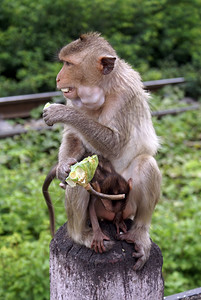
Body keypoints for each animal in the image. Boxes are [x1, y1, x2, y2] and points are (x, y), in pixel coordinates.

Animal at [43, 32, 161, 272]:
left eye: (69, 64)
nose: (58, 78)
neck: (104, 90)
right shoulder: (73, 97)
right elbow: (74, 137)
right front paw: (63, 166)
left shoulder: (126, 95)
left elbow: (115, 144)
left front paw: (61, 112)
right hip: (98, 209)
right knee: (78, 176)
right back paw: (80, 235)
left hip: (128, 204)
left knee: (145, 163)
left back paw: (139, 233)